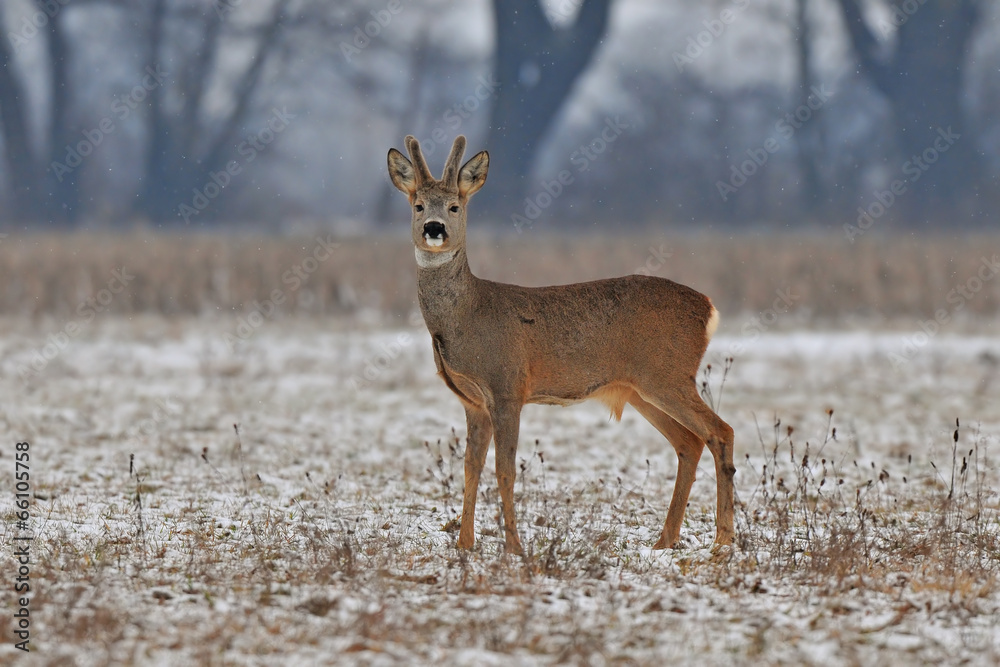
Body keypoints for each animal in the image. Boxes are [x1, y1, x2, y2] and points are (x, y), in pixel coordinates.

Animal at [387, 135, 735, 555]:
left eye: (455, 205)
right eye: (418, 204)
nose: (434, 228)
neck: (466, 317)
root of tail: (709, 307)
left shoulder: (507, 387)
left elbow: (505, 471)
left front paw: (514, 547)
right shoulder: (473, 402)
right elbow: (471, 468)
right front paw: (465, 544)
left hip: (668, 375)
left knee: (721, 431)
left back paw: (723, 539)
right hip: (641, 388)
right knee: (690, 442)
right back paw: (665, 540)